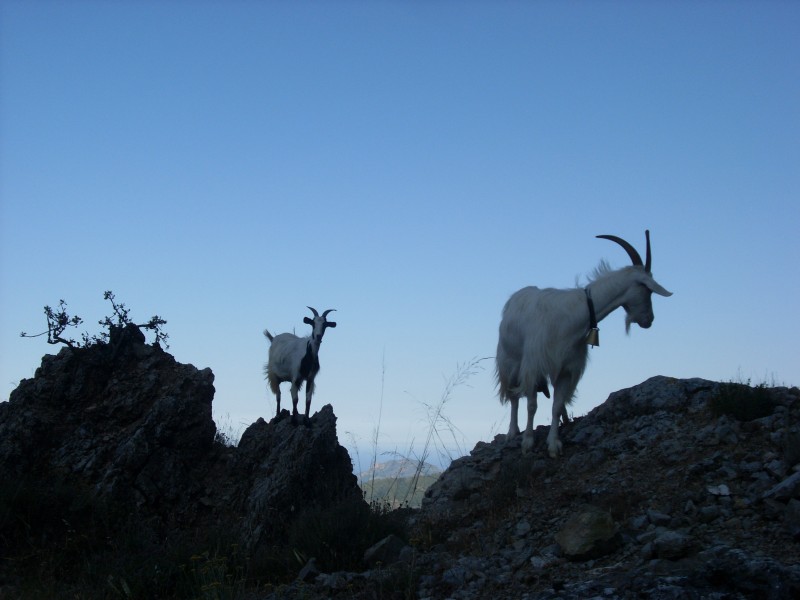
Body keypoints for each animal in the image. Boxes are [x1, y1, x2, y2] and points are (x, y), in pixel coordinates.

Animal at [496, 232, 672, 458]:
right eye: (647, 290)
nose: (649, 320)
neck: (576, 313)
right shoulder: (534, 365)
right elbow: (532, 405)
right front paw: (527, 442)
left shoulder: (566, 368)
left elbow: (556, 405)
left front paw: (554, 444)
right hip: (509, 362)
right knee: (514, 397)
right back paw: (512, 432)